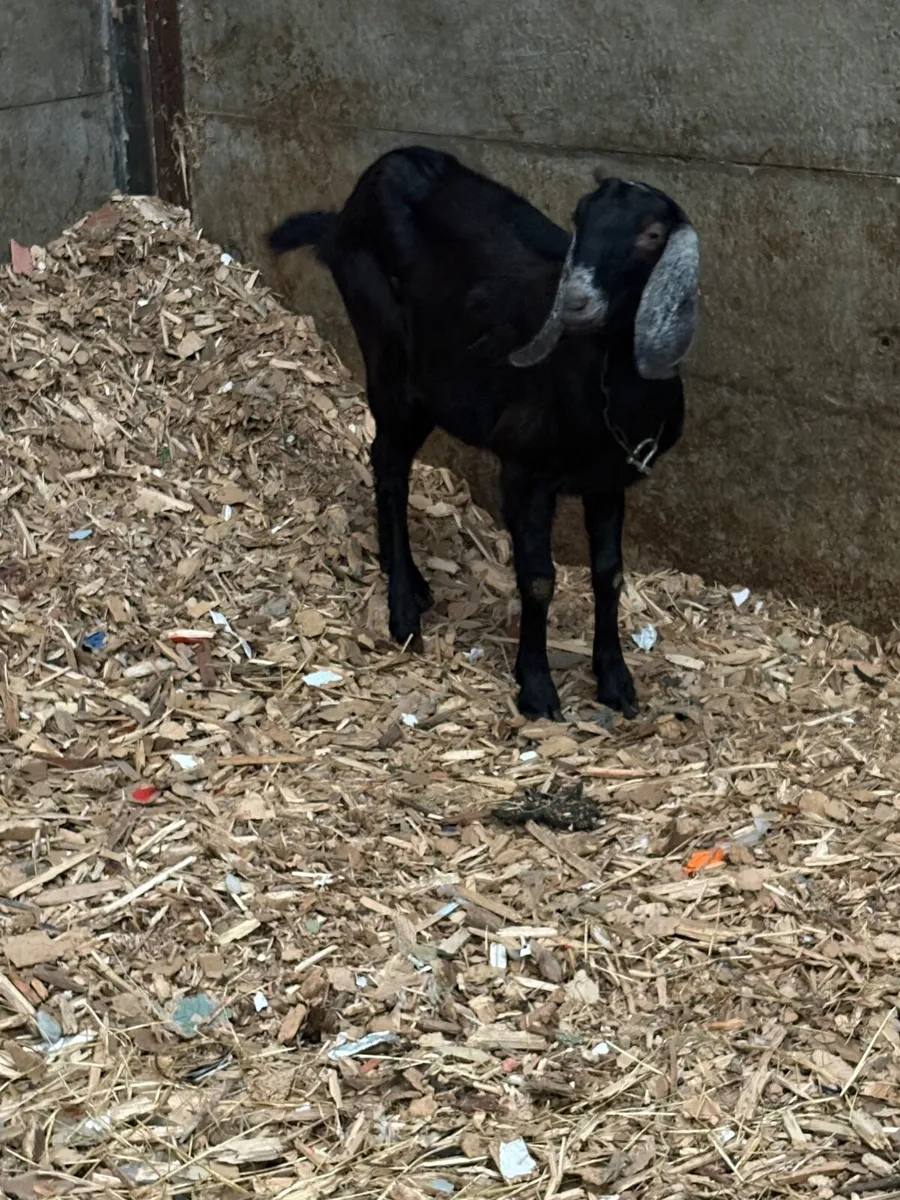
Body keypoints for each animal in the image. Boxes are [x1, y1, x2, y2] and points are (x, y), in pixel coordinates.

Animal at [267, 146, 699, 721]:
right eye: (580, 218)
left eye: (652, 235)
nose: (575, 300)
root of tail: (345, 213)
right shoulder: (524, 470)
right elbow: (538, 580)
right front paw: (536, 689)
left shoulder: (608, 480)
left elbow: (609, 574)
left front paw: (616, 682)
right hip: (390, 356)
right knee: (389, 463)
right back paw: (403, 610)